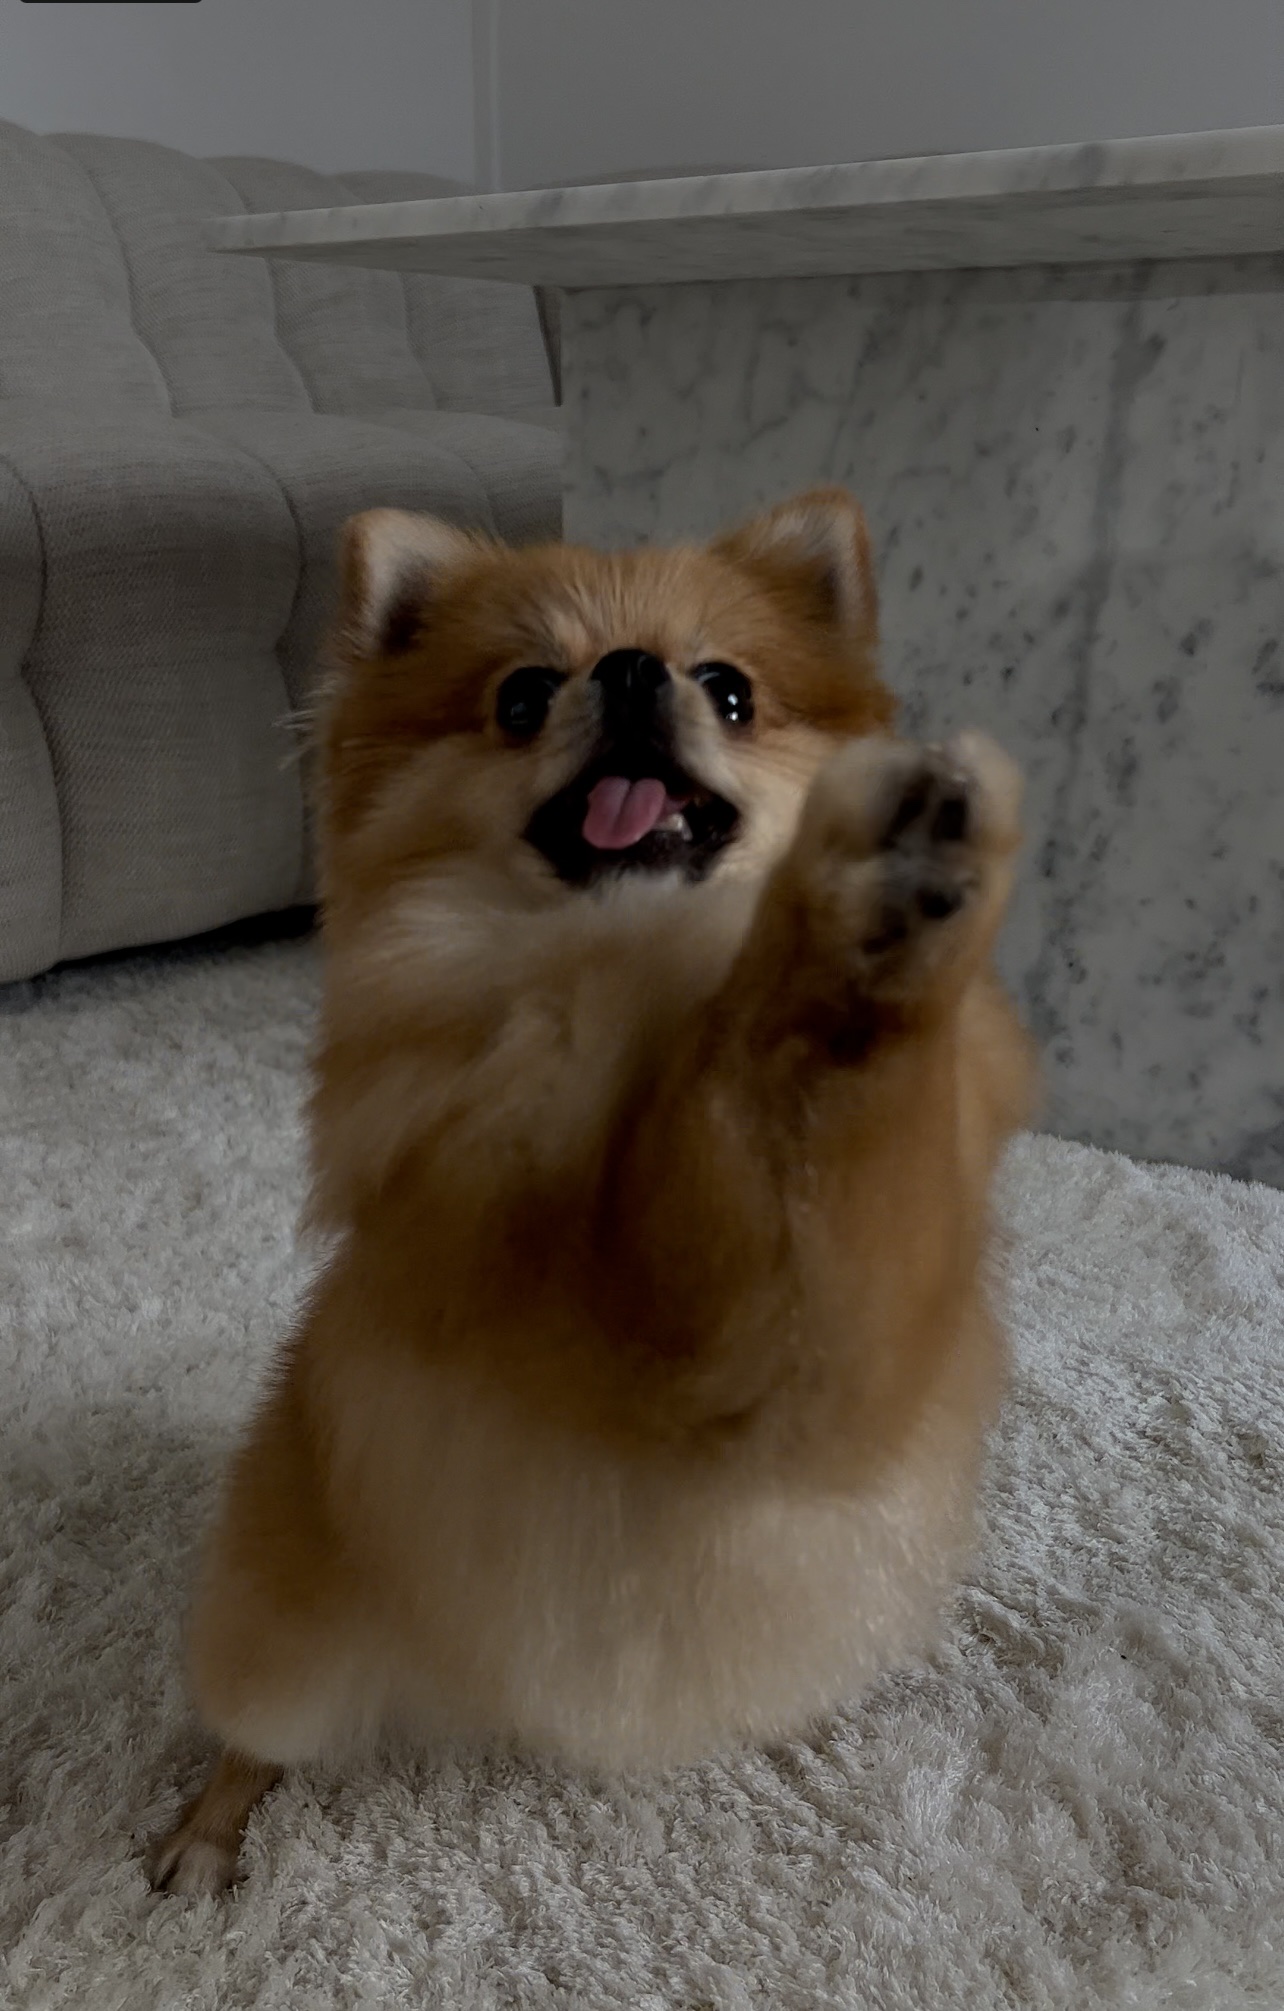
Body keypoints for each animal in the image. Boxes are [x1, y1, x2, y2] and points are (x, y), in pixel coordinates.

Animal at [149, 488, 1035, 1896]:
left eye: (728, 689)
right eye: (521, 696)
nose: (627, 671)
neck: (631, 974)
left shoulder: (846, 1363)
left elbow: (831, 1134)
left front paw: (889, 909)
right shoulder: (619, 1315)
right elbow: (757, 1123)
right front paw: (842, 913)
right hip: (284, 1639)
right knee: (251, 1731)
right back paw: (208, 1829)